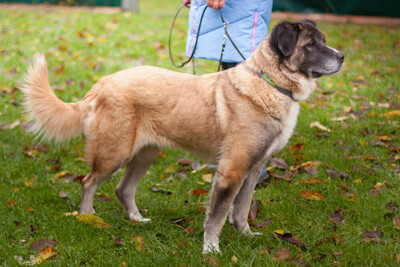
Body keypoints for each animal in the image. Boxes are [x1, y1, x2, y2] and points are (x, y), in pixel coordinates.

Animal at [21, 20, 344, 253]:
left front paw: (246, 236)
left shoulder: (252, 170)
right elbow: (217, 216)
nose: (342, 57)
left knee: (123, 189)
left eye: (324, 40)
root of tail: (102, 83)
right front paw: (211, 250)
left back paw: (137, 220)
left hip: (145, 154)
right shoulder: (231, 173)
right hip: (115, 153)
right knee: (89, 182)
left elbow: (240, 211)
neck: (269, 82)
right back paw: (88, 217)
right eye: (311, 44)